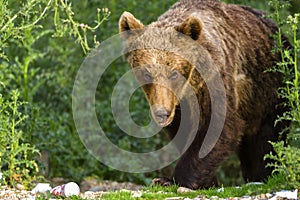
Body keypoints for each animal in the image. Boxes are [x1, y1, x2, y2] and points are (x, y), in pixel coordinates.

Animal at [118, 0, 290, 189]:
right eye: (147, 74)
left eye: (174, 73)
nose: (162, 113)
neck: (189, 87)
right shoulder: (181, 107)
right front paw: (206, 181)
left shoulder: (215, 81)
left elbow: (218, 128)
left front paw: (170, 179)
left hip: (268, 89)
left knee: (266, 139)